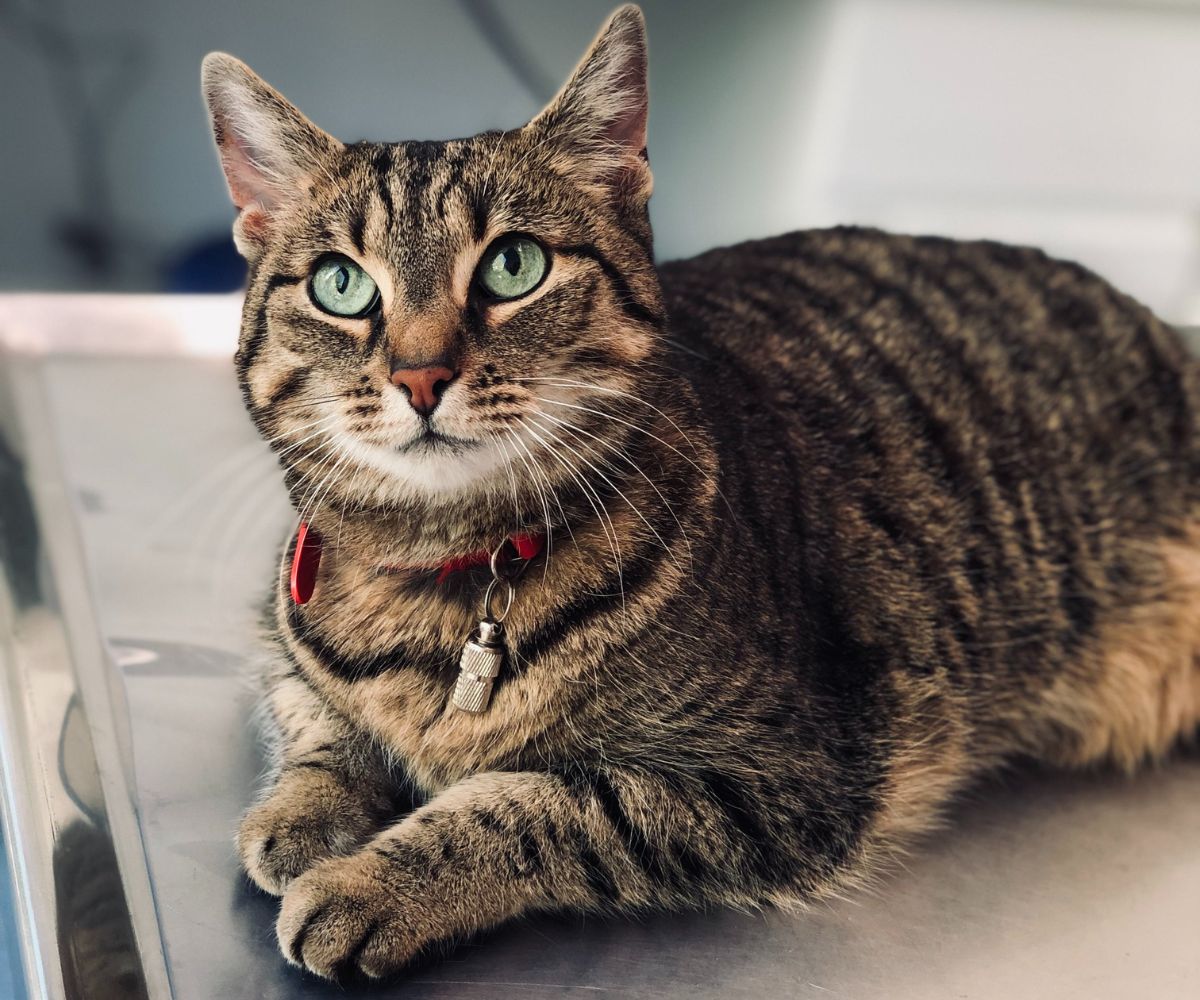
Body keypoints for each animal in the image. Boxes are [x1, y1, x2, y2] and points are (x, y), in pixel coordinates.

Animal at [201, 1, 1200, 984]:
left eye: (513, 266)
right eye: (340, 284)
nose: (419, 375)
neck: (440, 577)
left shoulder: (783, 776)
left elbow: (530, 804)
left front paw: (370, 884)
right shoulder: (278, 635)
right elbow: (312, 717)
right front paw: (302, 815)